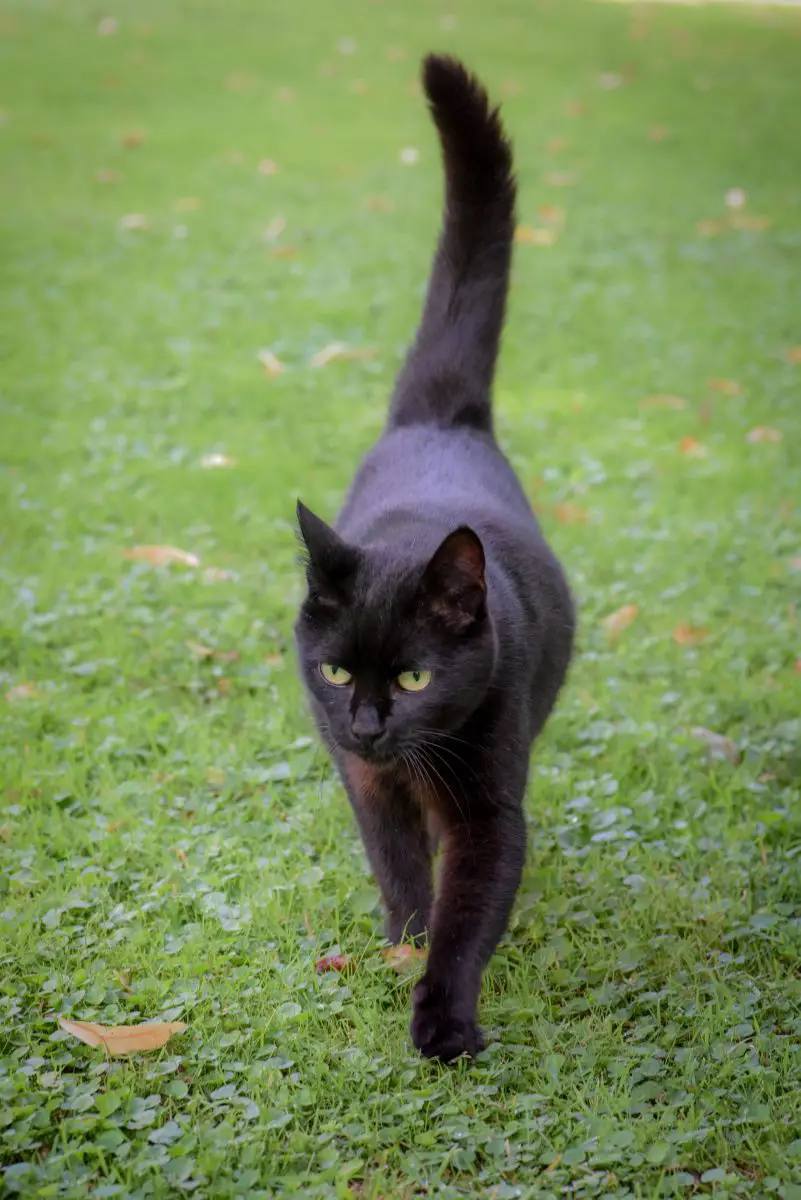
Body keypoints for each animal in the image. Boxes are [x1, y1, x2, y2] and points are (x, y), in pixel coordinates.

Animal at [293, 54, 575, 1060]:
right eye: (336, 671)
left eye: (413, 678)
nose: (368, 722)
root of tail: (441, 419)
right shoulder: (368, 785)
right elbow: (401, 870)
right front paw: (402, 941)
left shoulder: (489, 808)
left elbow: (469, 908)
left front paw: (443, 1017)